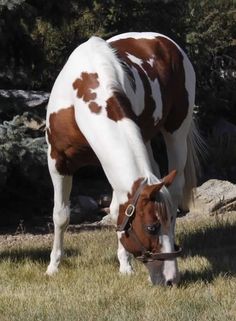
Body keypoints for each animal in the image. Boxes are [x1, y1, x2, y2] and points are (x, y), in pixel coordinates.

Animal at [46, 31, 201, 284]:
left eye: (164, 223)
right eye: (151, 227)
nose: (171, 279)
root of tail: (165, 41)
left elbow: (116, 209)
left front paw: (125, 265)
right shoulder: (57, 160)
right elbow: (61, 215)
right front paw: (53, 266)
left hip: (176, 130)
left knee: (176, 188)